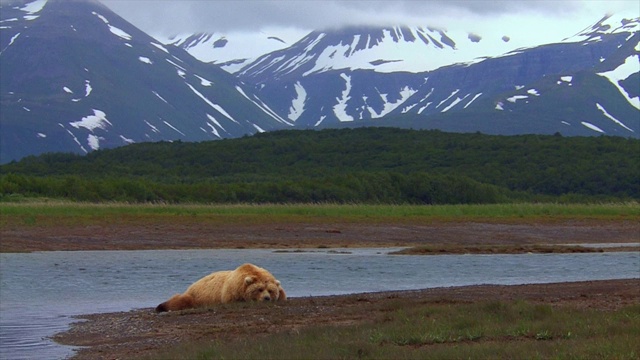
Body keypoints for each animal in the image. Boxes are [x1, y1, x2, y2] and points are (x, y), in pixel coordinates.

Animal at [155, 262, 284, 312]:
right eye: (259, 289)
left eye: (270, 290)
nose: (266, 298)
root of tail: (192, 285)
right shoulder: (231, 291)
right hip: (196, 296)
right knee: (180, 300)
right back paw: (161, 306)